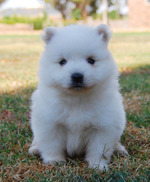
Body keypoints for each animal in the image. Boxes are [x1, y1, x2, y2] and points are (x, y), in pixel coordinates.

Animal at [29, 24, 127, 171]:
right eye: (62, 62)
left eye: (91, 60)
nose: (76, 76)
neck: (77, 99)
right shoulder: (50, 124)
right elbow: (52, 145)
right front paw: (54, 161)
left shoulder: (102, 127)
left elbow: (99, 149)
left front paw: (98, 165)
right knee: (37, 139)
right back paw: (35, 148)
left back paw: (119, 149)